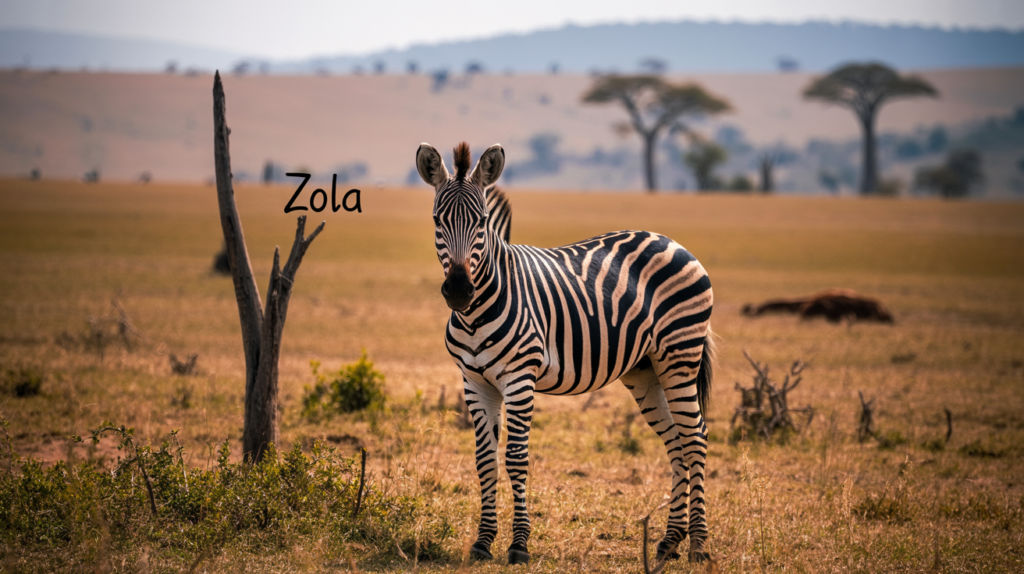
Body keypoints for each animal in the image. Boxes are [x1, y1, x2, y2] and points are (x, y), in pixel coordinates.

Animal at [416, 142, 715, 565]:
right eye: (438, 220)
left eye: (481, 221)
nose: (459, 290)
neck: (478, 311)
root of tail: (670, 240)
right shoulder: (474, 382)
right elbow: (485, 461)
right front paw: (483, 542)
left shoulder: (520, 379)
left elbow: (516, 458)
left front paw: (519, 545)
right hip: (646, 370)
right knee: (676, 441)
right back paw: (669, 541)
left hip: (679, 357)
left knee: (696, 439)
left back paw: (698, 546)